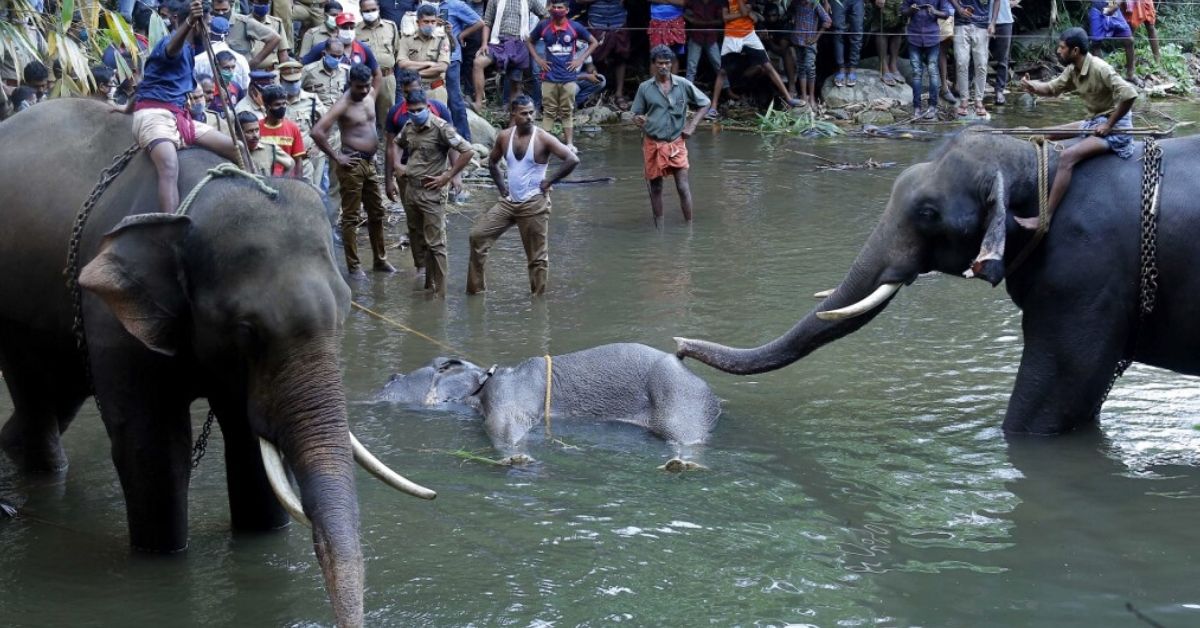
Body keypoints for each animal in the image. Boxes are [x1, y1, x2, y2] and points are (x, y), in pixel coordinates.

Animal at [0, 99, 436, 628]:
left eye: (348, 309)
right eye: (246, 330)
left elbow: (248, 444)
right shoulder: (110, 315)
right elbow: (153, 448)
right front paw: (162, 560)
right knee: (36, 393)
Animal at [381, 341, 720, 468]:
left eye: (394, 378)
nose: (389, 376)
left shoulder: (508, 394)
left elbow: (504, 426)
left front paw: (517, 459)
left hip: (678, 397)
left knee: (684, 436)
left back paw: (680, 464)